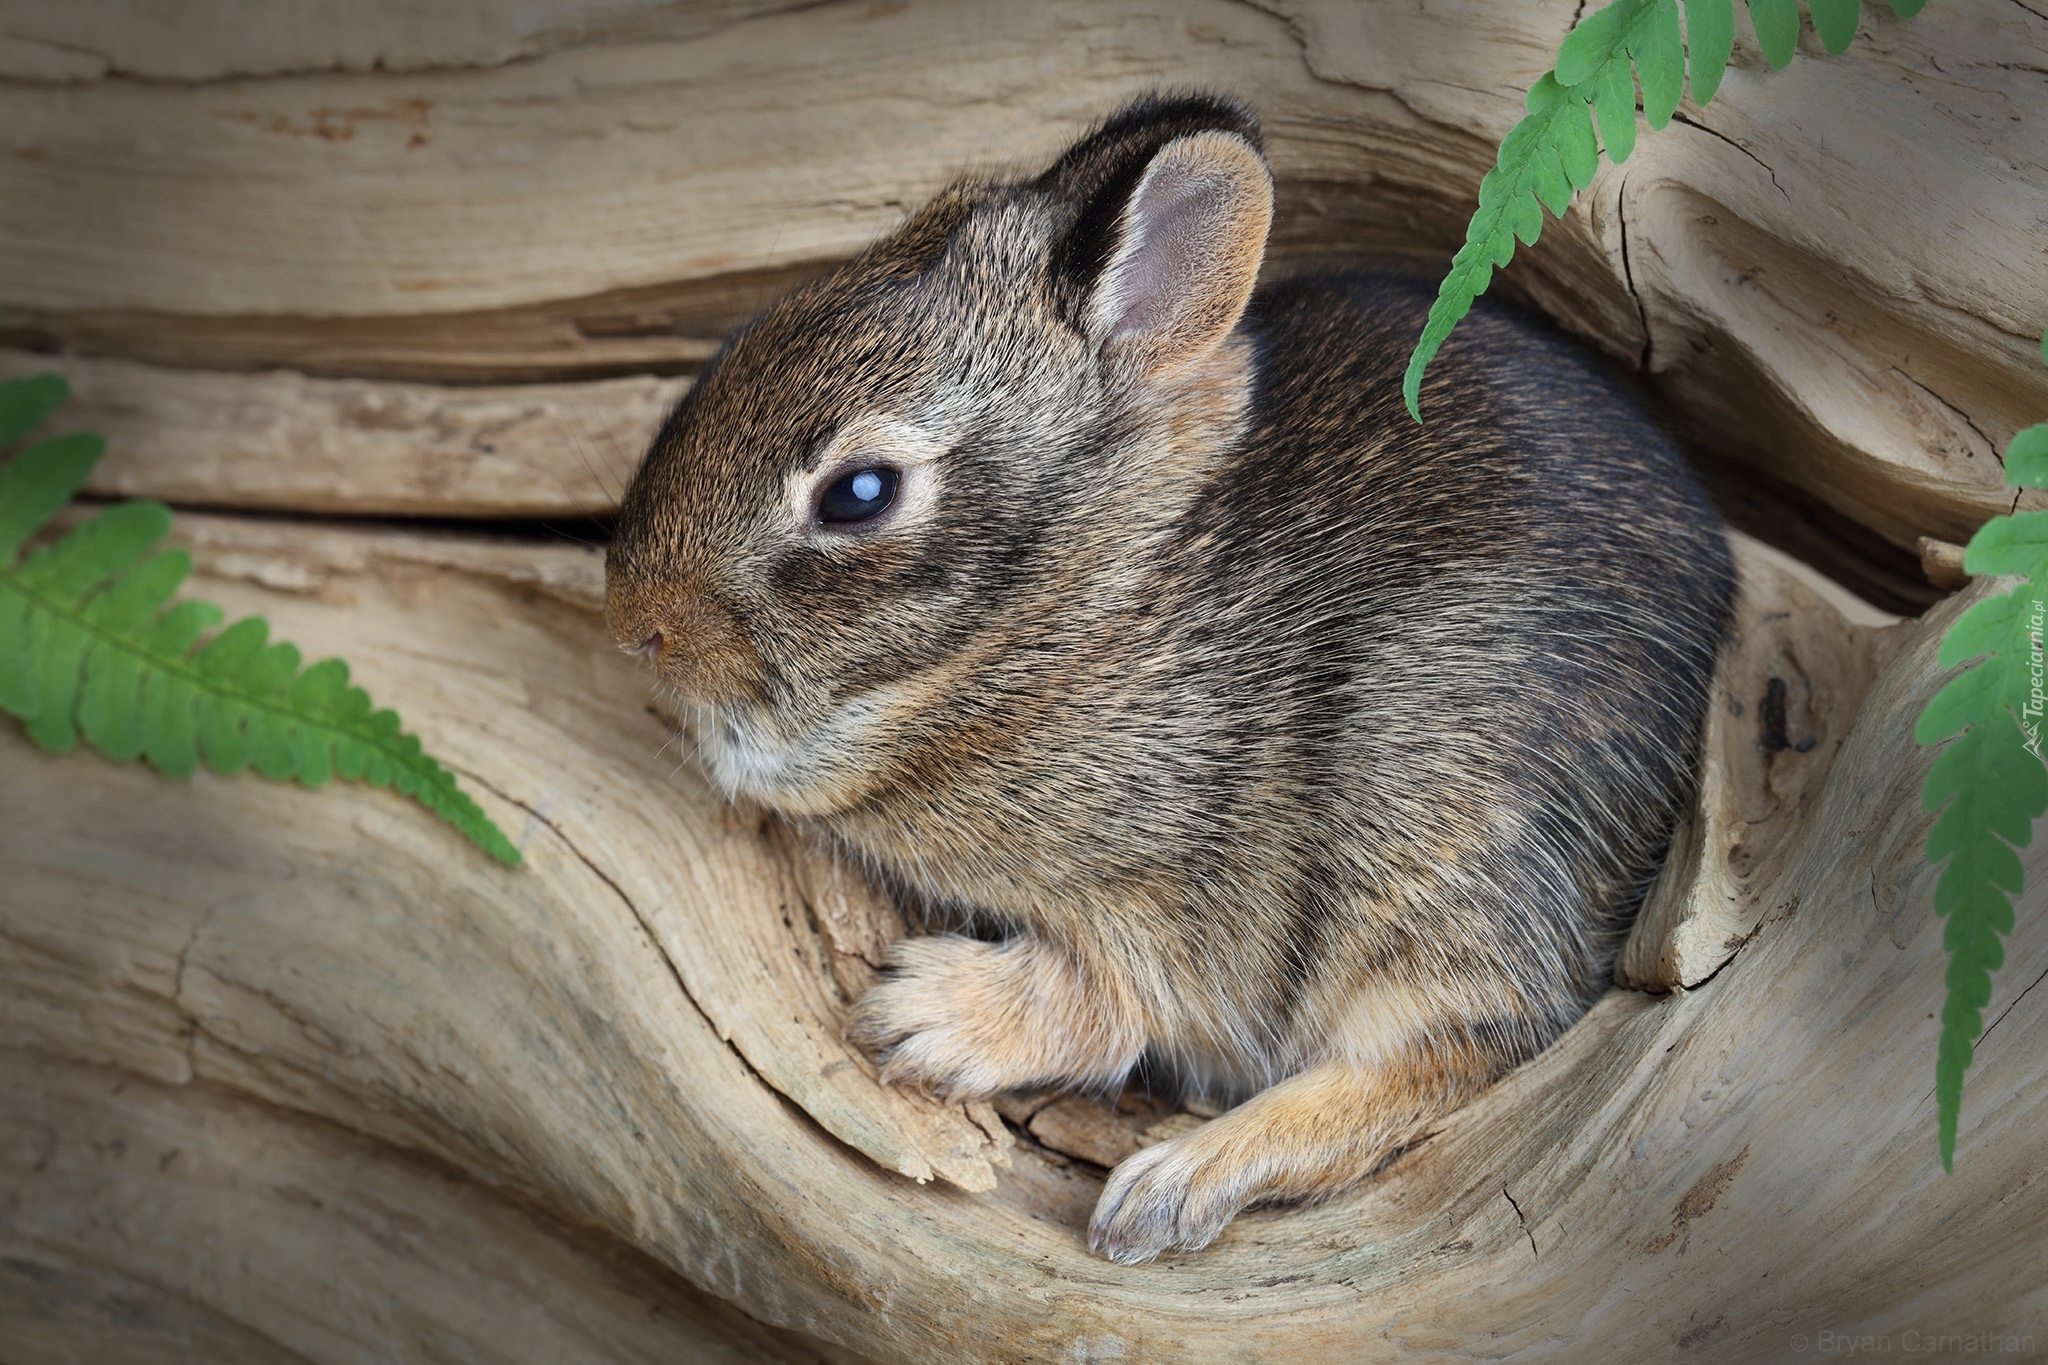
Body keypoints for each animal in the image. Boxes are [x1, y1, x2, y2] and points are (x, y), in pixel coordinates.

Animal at [602, 93, 1728, 1268]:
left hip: (1429, 841)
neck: (1091, 600)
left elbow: (1106, 1000)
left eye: (859, 493)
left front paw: (923, 1015)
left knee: (1467, 1042)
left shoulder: (1182, 905)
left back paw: (1170, 1183)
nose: (636, 622)